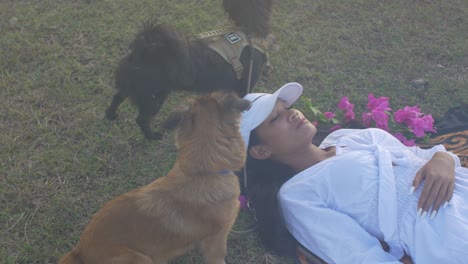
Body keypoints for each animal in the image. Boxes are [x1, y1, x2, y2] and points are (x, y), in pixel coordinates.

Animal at [106, 0, 274, 140]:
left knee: (117, 97)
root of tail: (144, 50)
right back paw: (152, 136)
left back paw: (110, 114)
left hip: (135, 87)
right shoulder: (243, 89)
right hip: (154, 96)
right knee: (142, 119)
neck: (250, 32)